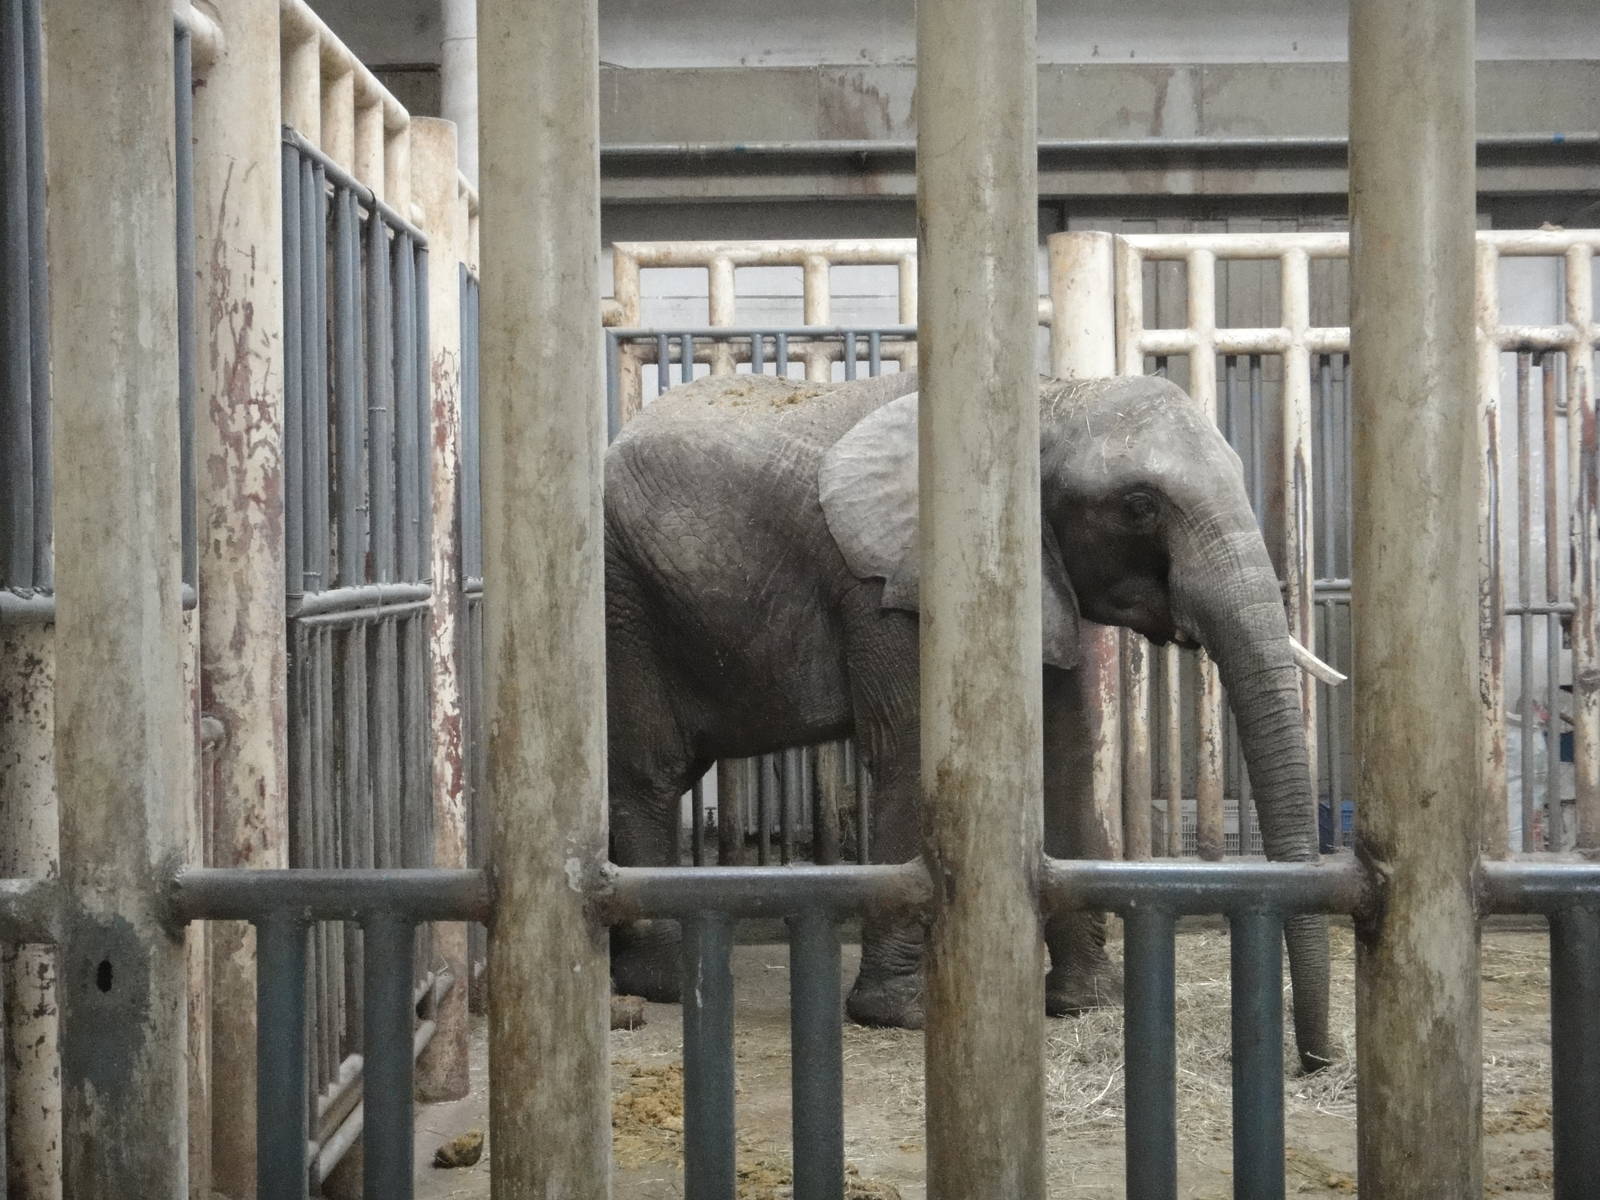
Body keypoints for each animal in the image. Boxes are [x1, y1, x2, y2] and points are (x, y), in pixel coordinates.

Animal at [604, 369, 1336, 1073]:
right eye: (1139, 506)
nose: (1314, 1063)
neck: (1040, 397)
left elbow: (1063, 758)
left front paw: (1085, 1003)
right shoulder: (895, 583)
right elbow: (912, 751)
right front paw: (902, 1014)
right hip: (624, 599)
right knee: (649, 774)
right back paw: (664, 981)